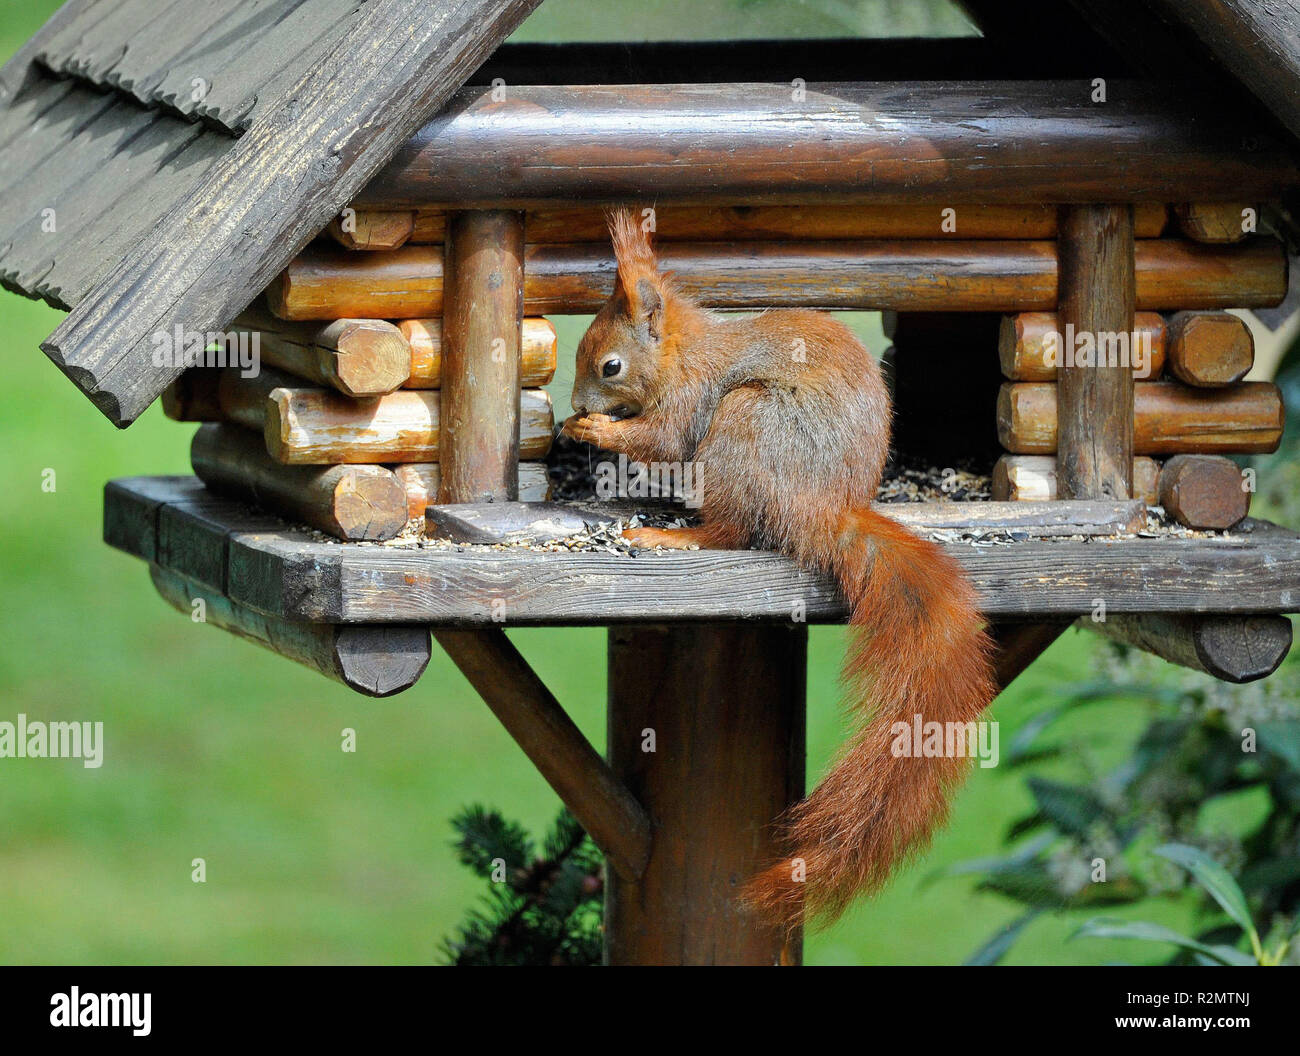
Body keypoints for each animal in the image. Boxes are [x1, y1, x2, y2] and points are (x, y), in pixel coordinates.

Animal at [564, 208, 998, 931]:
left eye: (611, 364)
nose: (572, 402)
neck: (683, 354)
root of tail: (823, 511)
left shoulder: (690, 403)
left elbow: (662, 440)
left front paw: (594, 430)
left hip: (745, 424)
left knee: (733, 531)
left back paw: (672, 534)